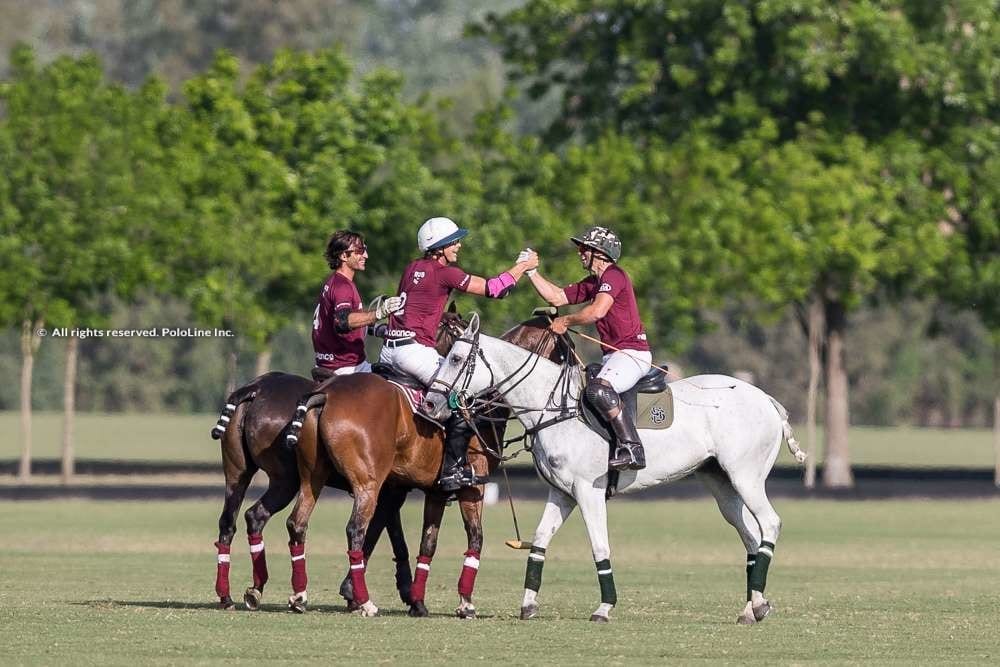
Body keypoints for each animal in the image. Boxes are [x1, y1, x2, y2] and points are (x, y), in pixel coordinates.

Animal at [208, 306, 468, 612]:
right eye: (459, 329)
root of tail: (254, 389)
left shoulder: (389, 488)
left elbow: (390, 534)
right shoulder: (389, 489)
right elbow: (380, 533)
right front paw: (375, 595)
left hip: (240, 473)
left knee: (235, 519)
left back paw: (237, 594)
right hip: (287, 479)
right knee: (264, 517)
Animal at [286, 316, 564, 620]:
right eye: (565, 351)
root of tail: (325, 395)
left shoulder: (433, 491)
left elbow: (426, 543)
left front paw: (417, 601)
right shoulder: (472, 487)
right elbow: (475, 537)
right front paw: (465, 603)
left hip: (312, 476)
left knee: (297, 522)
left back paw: (299, 597)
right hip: (367, 483)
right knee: (355, 530)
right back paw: (365, 602)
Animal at [422, 314, 804, 628]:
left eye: (455, 359)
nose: (431, 402)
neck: (554, 407)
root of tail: (768, 400)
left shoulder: (587, 491)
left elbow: (599, 545)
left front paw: (604, 608)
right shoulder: (561, 492)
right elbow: (541, 539)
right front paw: (528, 605)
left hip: (745, 476)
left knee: (770, 523)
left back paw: (756, 604)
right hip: (721, 482)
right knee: (751, 535)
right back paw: (753, 608)